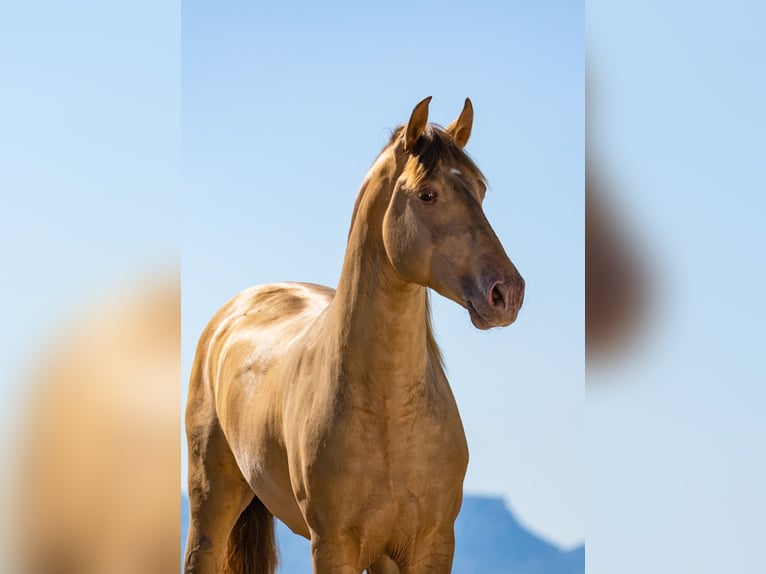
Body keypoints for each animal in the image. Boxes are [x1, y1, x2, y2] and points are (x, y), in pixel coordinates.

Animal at [183, 97, 524, 572]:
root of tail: (233, 314)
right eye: (427, 194)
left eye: (480, 190)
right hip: (211, 506)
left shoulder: (432, 544)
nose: (506, 293)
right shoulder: (333, 544)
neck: (389, 411)